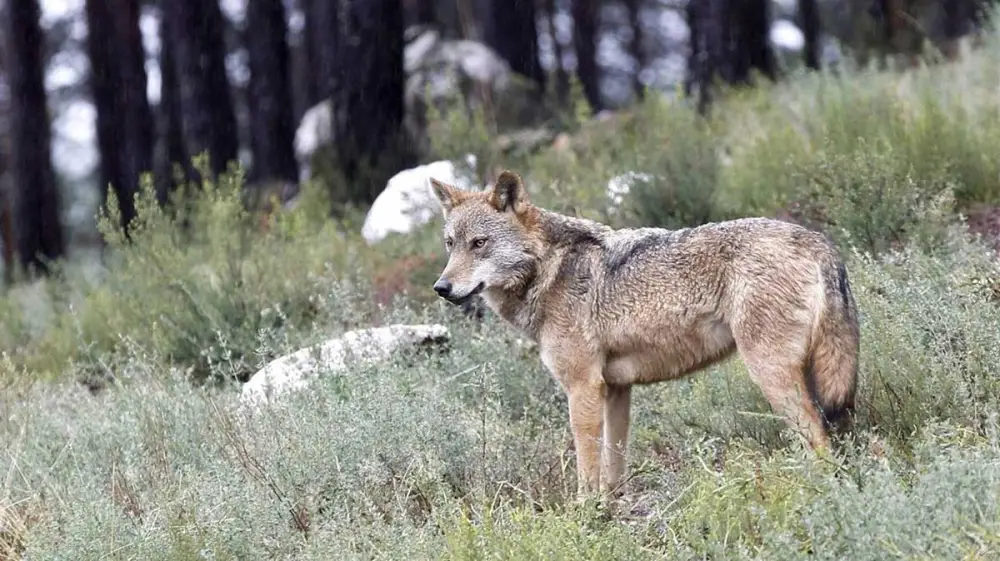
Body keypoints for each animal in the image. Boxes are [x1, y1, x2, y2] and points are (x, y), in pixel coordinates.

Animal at [428, 170, 860, 498]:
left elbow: (587, 466)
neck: (549, 271)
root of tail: (818, 240)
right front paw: (610, 508)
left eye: (479, 243)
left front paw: (584, 514)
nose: (441, 288)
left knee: (819, 440)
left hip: (771, 375)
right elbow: (613, 464)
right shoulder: (616, 389)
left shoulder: (583, 388)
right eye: (450, 244)